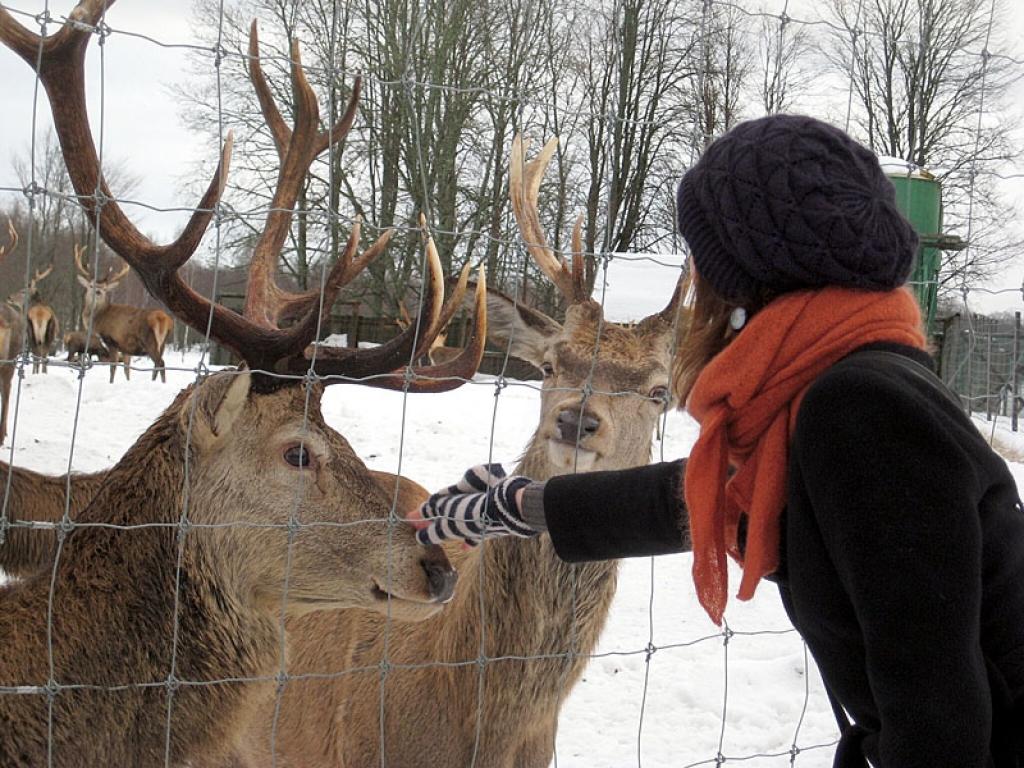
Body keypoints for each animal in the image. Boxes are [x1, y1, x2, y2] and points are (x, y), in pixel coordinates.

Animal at [73, 241, 175, 382]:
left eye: (104, 289)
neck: (99, 319)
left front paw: (111, 382)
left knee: (161, 363)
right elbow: (127, 369)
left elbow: (113, 367)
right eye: (91, 286)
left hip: (150, 340)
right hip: (164, 342)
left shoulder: (111, 340)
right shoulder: (126, 347)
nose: (98, 292)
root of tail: (163, 318)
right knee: (157, 365)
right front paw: (127, 381)